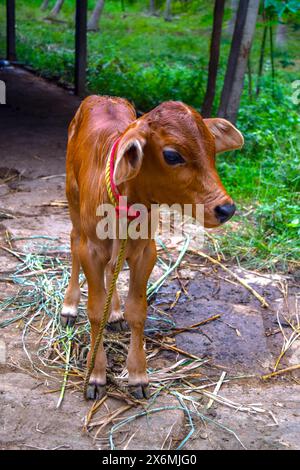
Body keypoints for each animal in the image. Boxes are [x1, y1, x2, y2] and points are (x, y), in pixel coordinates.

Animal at [61, 96, 244, 400]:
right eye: (172, 156)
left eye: (212, 149)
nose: (226, 209)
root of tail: (102, 97)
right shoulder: (92, 249)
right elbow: (95, 311)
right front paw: (96, 374)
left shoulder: (146, 251)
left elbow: (138, 312)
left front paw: (137, 374)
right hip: (72, 203)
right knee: (73, 244)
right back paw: (69, 306)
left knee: (113, 268)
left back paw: (115, 312)